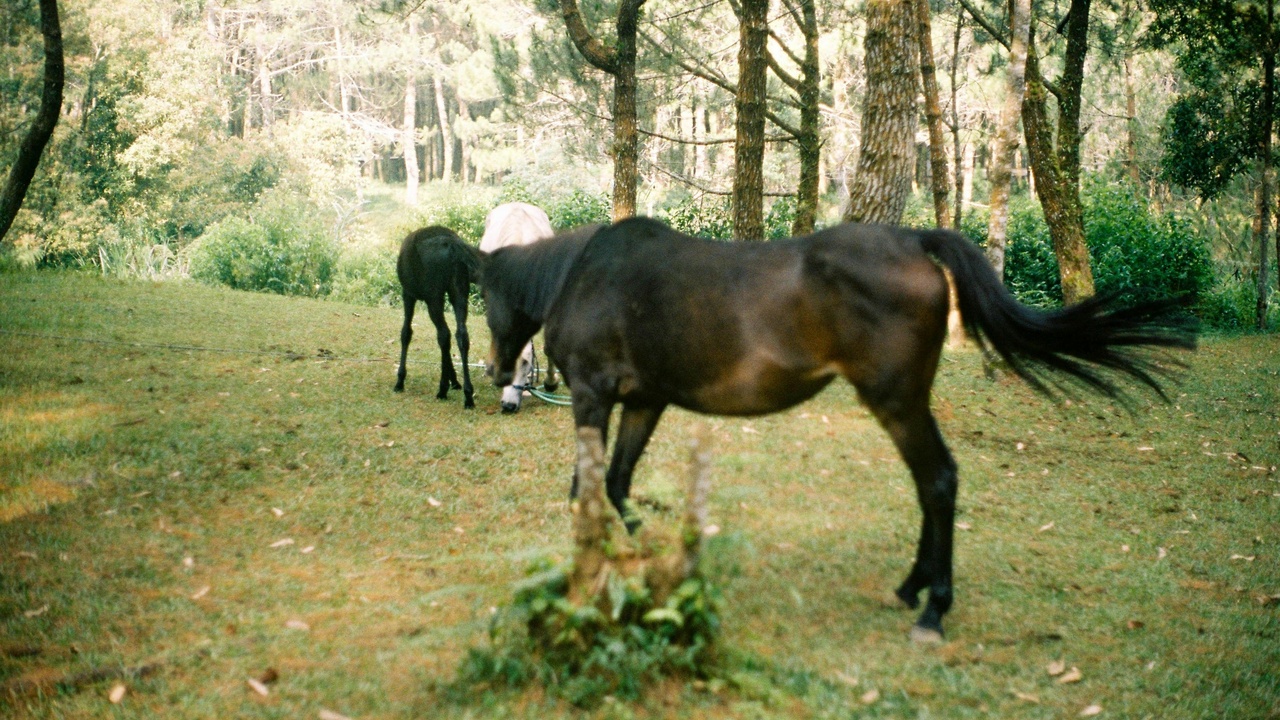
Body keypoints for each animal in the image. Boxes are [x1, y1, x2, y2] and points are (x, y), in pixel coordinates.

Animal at [393, 225, 483, 409]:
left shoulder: (408, 294)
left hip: (433, 296)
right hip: (459, 291)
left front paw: (400, 380)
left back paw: (442, 389)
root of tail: (452, 245)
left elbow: (406, 333)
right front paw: (454, 381)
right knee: (461, 335)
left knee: (444, 334)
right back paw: (468, 395)